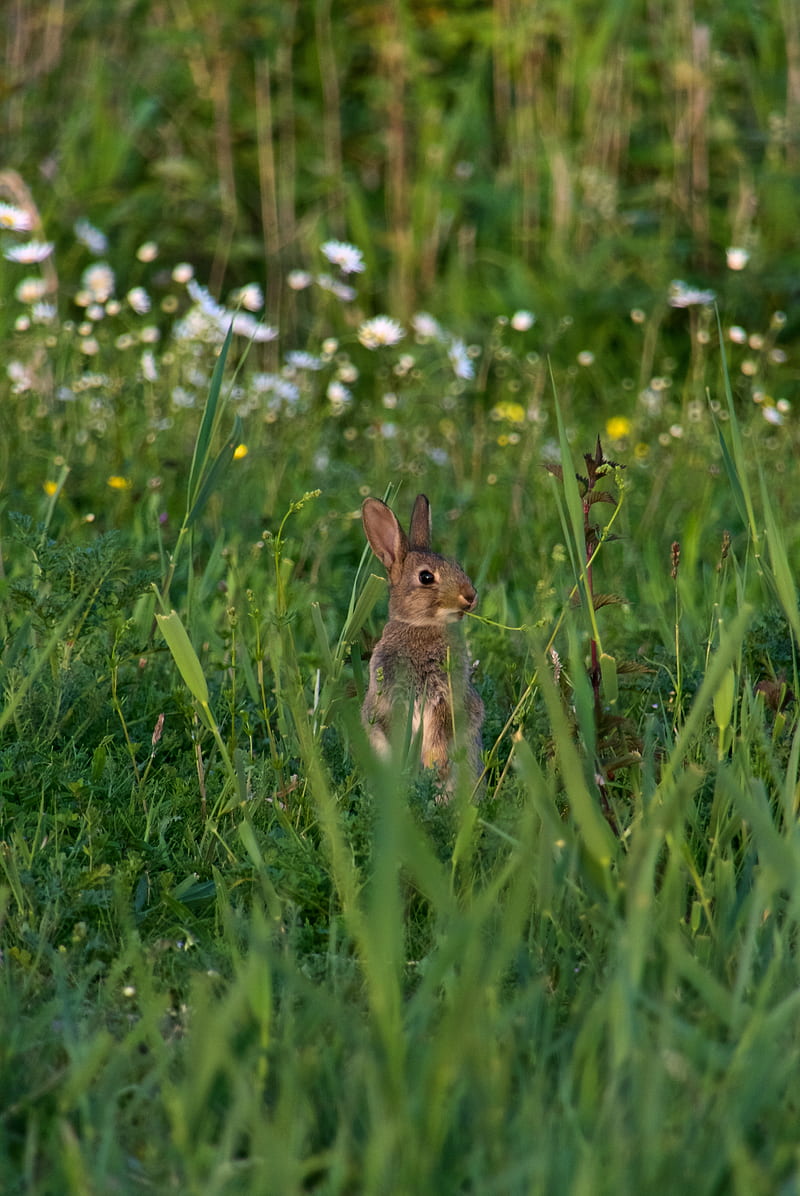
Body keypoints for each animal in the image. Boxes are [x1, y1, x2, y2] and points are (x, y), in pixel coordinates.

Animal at [361, 495, 480, 794]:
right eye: (426, 577)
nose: (470, 596)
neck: (420, 626)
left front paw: (431, 766)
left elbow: (440, 735)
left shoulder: (446, 697)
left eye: (457, 565)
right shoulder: (391, 697)